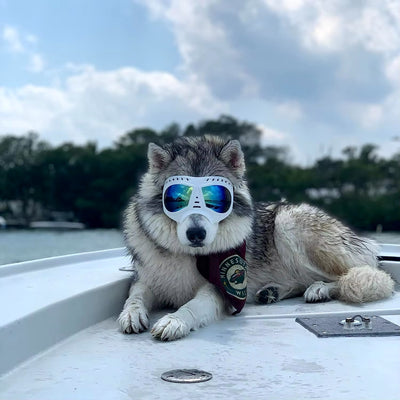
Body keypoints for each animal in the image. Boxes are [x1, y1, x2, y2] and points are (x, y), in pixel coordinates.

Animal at [118, 135, 394, 340]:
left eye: (216, 199)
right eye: (177, 198)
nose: (196, 233)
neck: (189, 254)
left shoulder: (219, 291)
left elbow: (192, 306)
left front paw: (174, 320)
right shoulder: (145, 280)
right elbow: (135, 296)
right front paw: (131, 314)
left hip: (288, 224)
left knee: (361, 275)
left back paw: (320, 289)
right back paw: (271, 292)